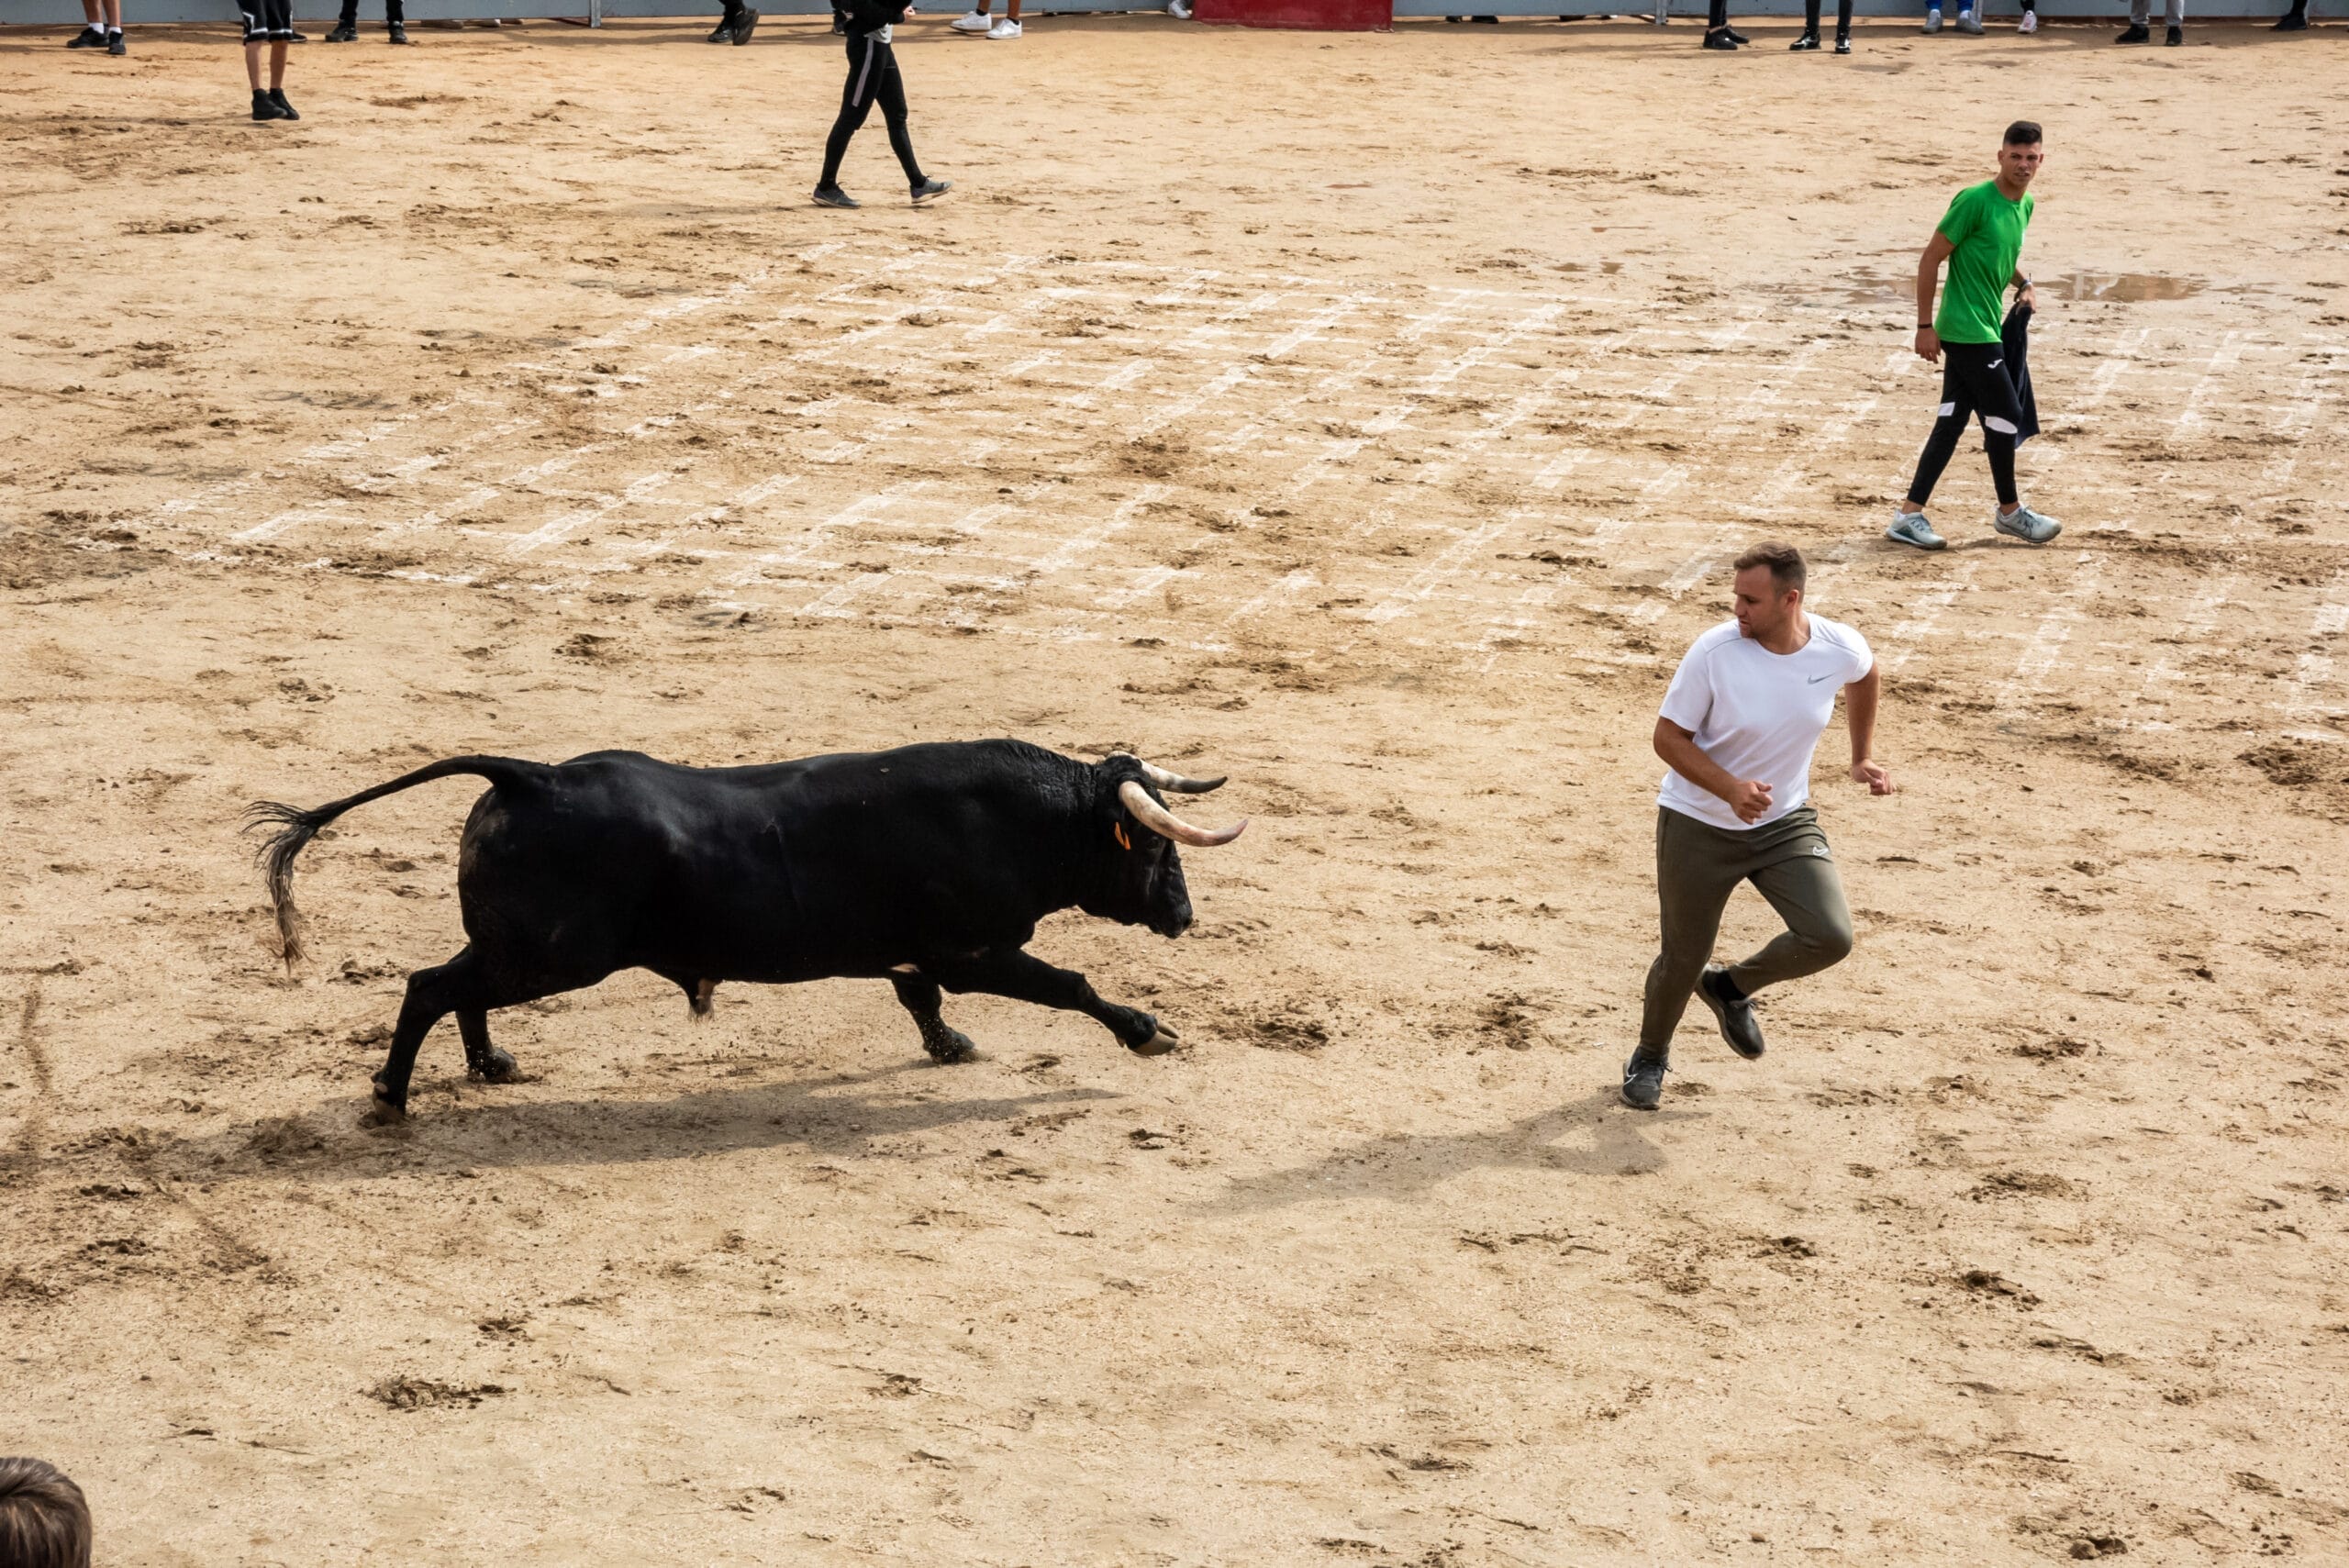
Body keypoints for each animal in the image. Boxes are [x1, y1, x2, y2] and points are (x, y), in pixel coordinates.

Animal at [245, 741, 1247, 1123]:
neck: (1021, 817)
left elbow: (914, 993)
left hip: (525, 951)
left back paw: (490, 1065)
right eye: (1160, 847)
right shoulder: (979, 950)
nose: (1184, 915)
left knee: (453, 985)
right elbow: (1069, 984)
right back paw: (390, 1095)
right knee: (431, 985)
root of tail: (531, 774)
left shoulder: (919, 951)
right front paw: (1147, 1031)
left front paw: (949, 1045)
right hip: (552, 956)